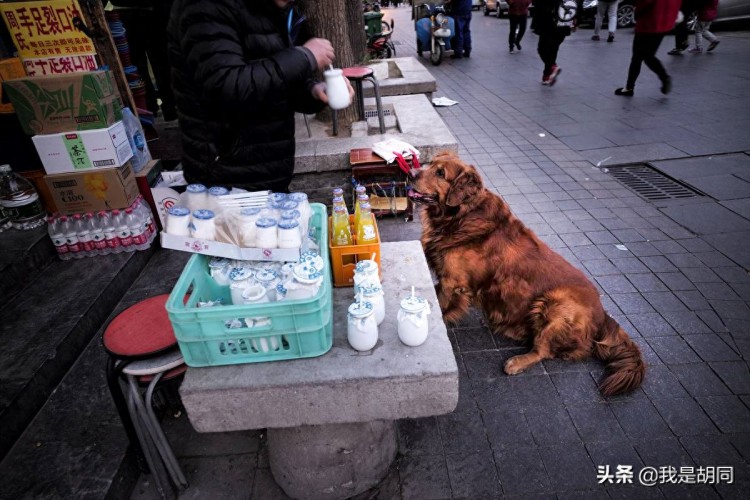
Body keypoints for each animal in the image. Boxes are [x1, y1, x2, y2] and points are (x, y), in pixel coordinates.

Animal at [408, 151, 648, 394]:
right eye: (430, 164)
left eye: (440, 173)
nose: (410, 173)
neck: (461, 216)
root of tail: (603, 314)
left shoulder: (453, 281)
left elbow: (441, 303)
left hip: (555, 302)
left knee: (545, 350)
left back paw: (517, 361)